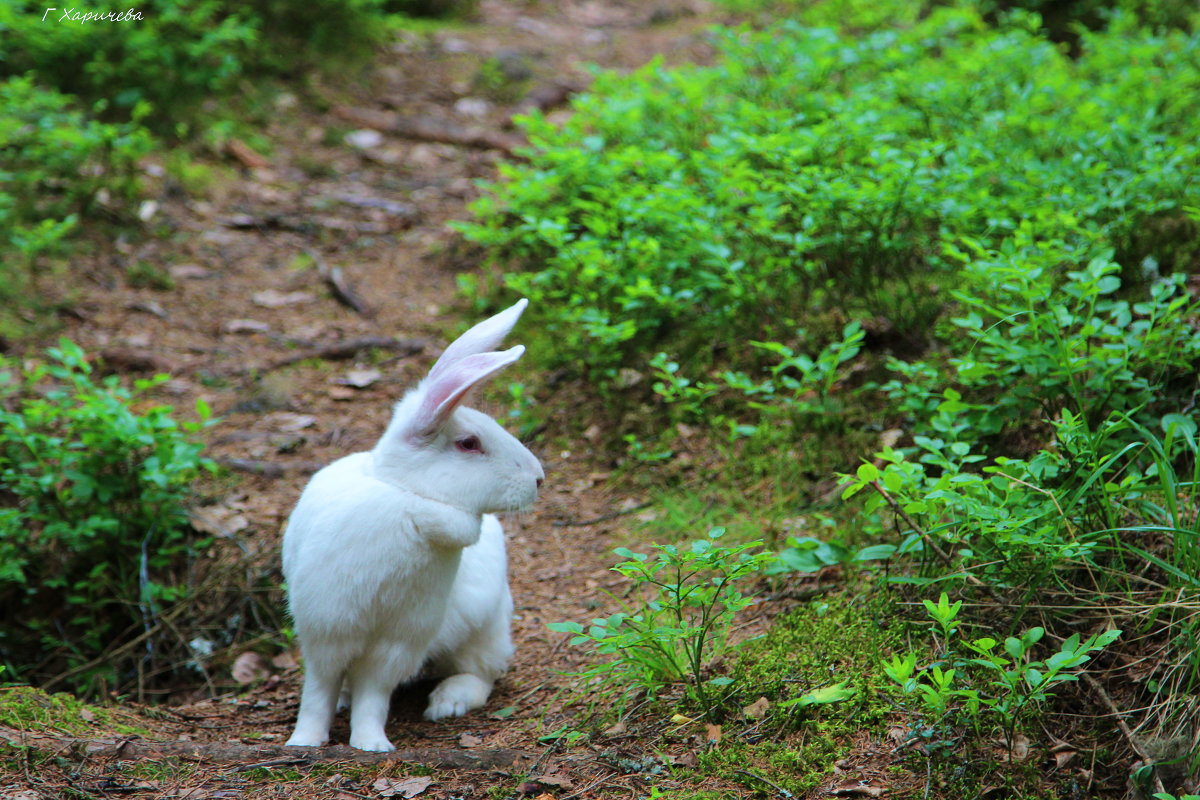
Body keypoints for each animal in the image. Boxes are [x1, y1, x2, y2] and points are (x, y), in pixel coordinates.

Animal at [278, 298, 542, 753]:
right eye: (469, 444)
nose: (539, 478)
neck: (409, 499)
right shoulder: (327, 630)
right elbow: (318, 691)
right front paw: (304, 742)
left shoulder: (398, 640)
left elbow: (374, 693)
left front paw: (371, 744)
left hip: (485, 628)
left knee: (481, 673)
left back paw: (447, 703)